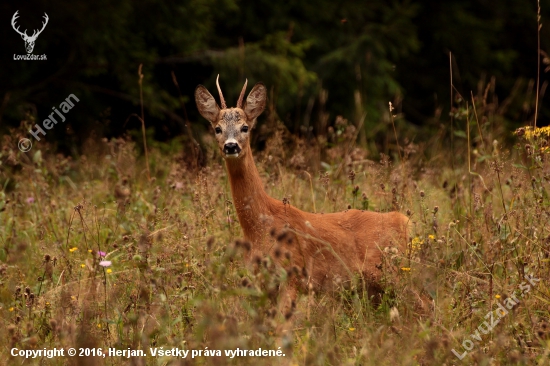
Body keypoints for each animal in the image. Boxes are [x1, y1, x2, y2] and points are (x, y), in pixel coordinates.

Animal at [195, 76, 414, 314]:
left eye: (245, 127)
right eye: (217, 129)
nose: (231, 146)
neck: (261, 228)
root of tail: (403, 221)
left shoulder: (293, 275)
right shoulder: (263, 284)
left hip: (391, 271)